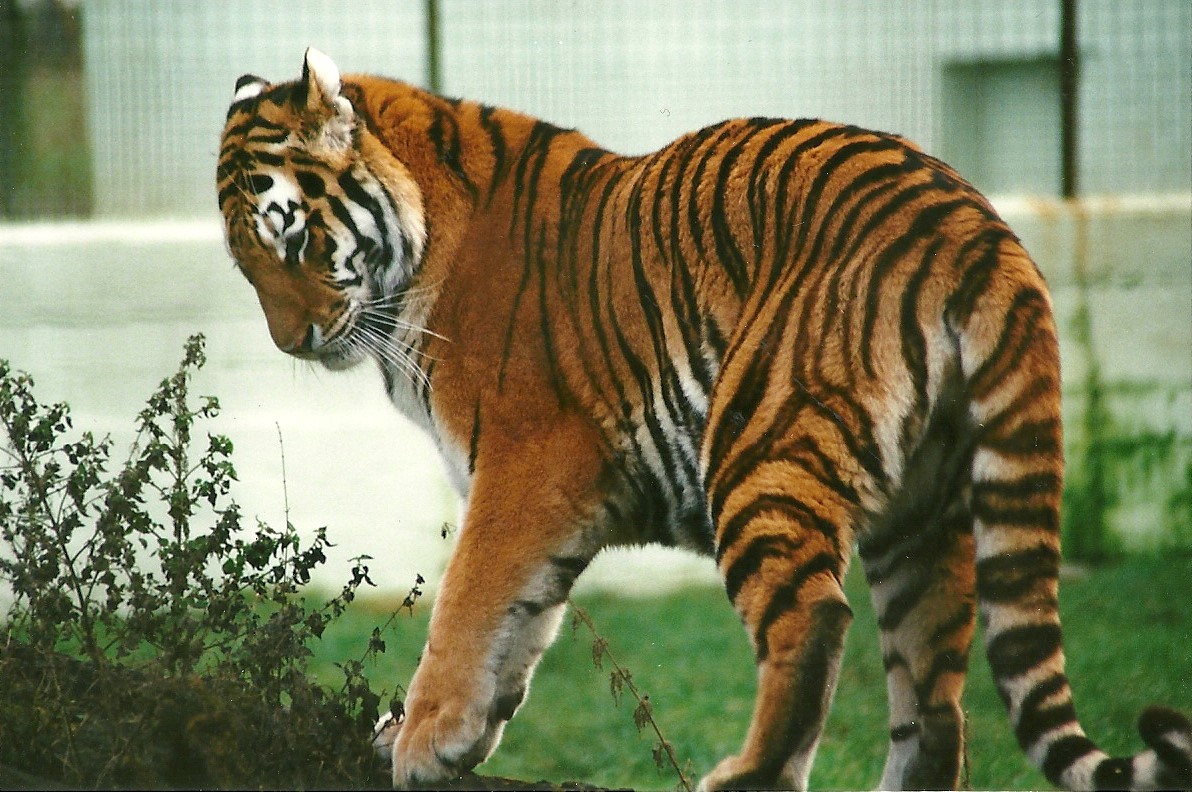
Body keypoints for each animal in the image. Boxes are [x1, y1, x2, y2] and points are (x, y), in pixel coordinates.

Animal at [216, 48, 1192, 791]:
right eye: (244, 265)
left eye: (293, 239)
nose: (293, 343)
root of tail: (977, 225)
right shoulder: (544, 497)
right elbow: (519, 624)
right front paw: (452, 739)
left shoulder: (528, 463)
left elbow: (468, 603)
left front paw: (420, 741)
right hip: (924, 511)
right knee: (937, 700)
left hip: (761, 441)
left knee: (816, 621)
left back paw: (746, 775)